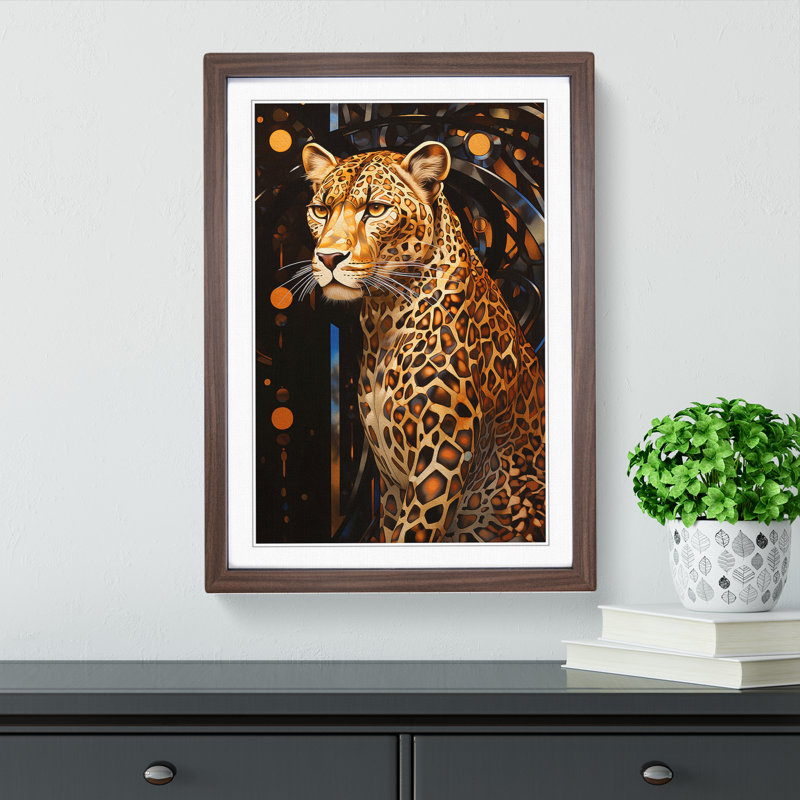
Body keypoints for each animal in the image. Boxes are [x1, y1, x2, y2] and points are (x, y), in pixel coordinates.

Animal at [301, 140, 545, 543]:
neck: (383, 318)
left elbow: (413, 531)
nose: (329, 257)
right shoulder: (391, 481)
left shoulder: (442, 456)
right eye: (321, 210)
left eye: (375, 209)